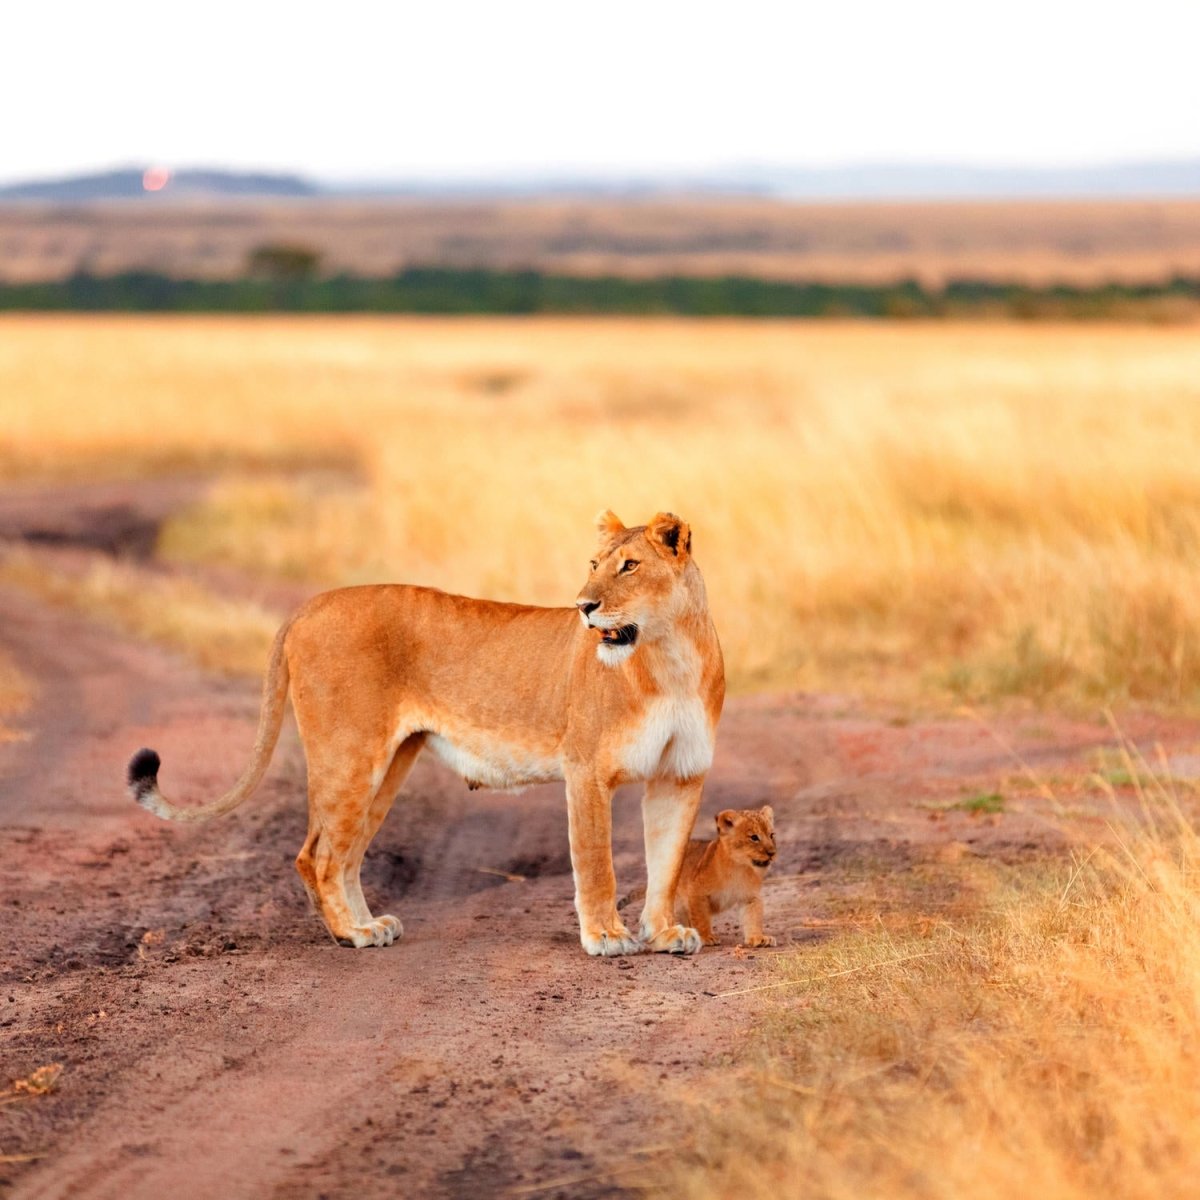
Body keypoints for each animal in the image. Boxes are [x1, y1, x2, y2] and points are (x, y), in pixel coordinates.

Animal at [127, 509, 725, 957]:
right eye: (595, 564)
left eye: (630, 566)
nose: (584, 606)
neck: (668, 656)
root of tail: (310, 605)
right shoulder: (586, 769)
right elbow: (597, 862)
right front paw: (606, 937)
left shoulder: (680, 774)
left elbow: (666, 860)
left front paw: (663, 933)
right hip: (349, 756)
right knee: (317, 855)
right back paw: (352, 933)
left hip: (389, 766)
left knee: (342, 854)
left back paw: (367, 926)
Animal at [620, 806, 777, 947]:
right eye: (754, 837)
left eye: (771, 835)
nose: (772, 853)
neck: (739, 868)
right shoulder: (696, 891)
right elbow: (701, 917)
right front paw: (707, 937)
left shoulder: (750, 897)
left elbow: (753, 917)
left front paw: (758, 939)